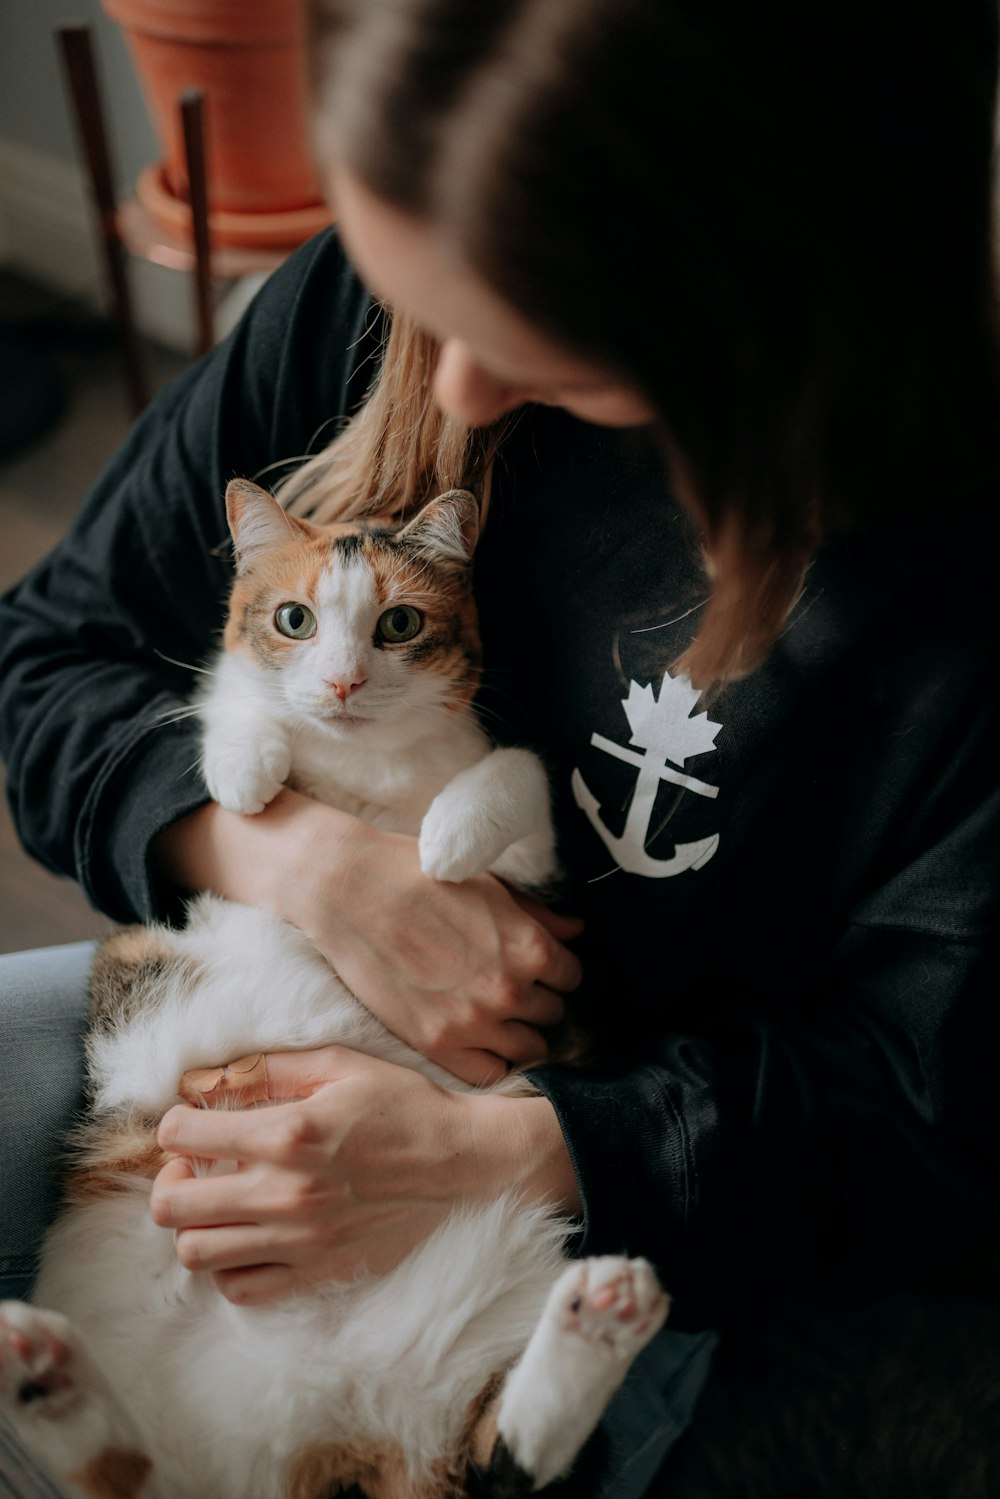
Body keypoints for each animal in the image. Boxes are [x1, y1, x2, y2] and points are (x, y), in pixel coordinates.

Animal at [3, 482, 671, 1499]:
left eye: (399, 624)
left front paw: (448, 837)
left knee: (507, 1454)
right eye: (295, 619)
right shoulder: (233, 694)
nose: (346, 683)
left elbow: (522, 770)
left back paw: (603, 1315)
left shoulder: (538, 872)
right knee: (123, 1471)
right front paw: (246, 765)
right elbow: (225, 705)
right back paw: (42, 1373)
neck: (360, 769)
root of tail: (311, 1431)